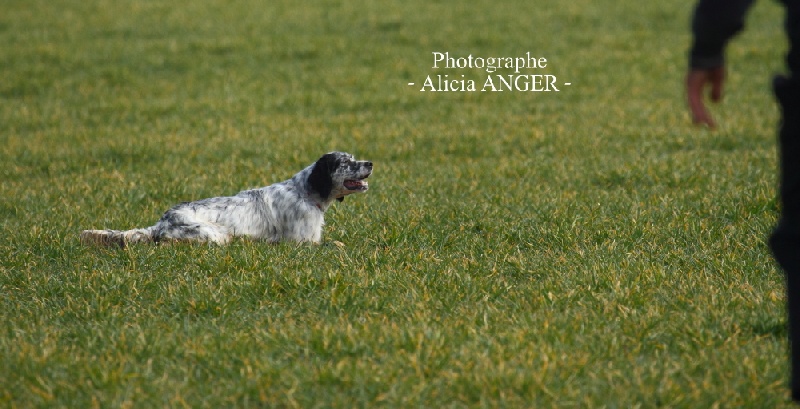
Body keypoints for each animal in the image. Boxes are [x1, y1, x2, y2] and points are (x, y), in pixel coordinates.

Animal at [79, 150, 374, 245]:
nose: (370, 163)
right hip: (214, 235)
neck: (305, 192)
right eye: (346, 162)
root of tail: (162, 221)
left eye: (354, 157)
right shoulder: (302, 242)